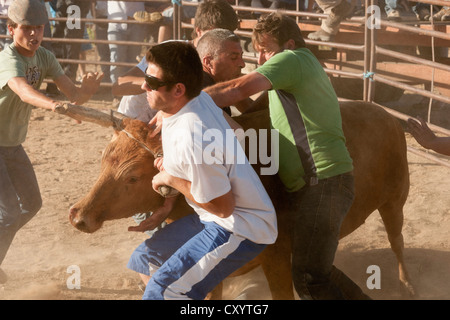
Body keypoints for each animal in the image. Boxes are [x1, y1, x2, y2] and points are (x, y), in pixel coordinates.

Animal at [67, 100, 414, 298]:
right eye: (103, 161)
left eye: (133, 177)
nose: (79, 215)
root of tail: (387, 116)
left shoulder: (277, 260)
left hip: (395, 200)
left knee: (397, 240)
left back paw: (407, 283)